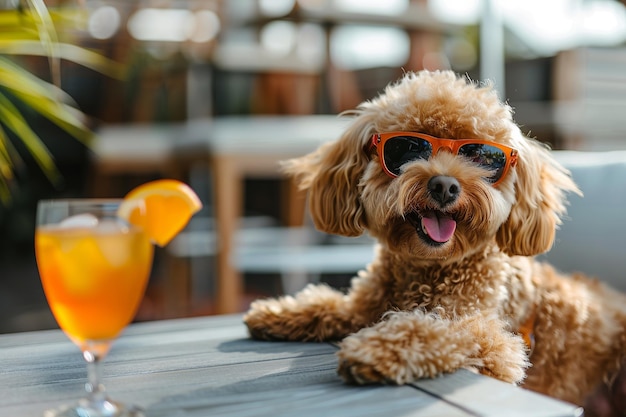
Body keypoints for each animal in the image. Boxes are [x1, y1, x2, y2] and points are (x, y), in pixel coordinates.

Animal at [241, 69, 624, 406]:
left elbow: (442, 331)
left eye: (482, 156)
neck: (427, 270)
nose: (444, 185)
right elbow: (336, 304)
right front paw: (280, 311)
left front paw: (378, 349)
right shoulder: (366, 306)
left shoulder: (497, 346)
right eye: (408, 148)